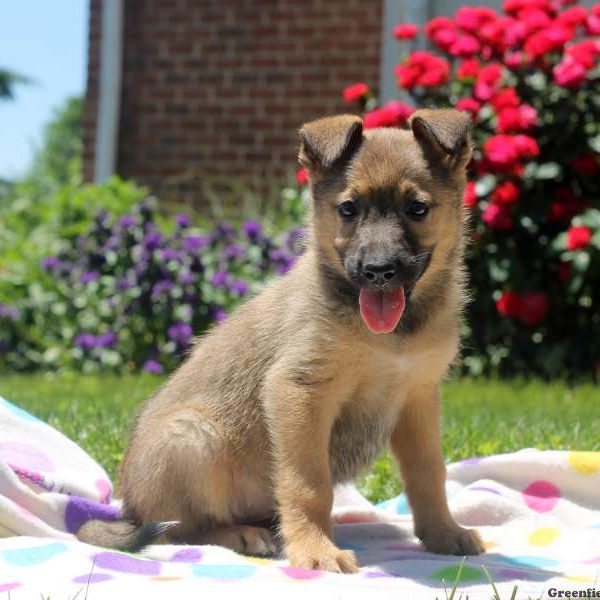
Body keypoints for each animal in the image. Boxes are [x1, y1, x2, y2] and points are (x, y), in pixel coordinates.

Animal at [78, 110, 482, 576]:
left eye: (417, 209)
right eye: (348, 209)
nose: (379, 271)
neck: (391, 339)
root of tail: (127, 509)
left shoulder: (418, 399)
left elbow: (429, 473)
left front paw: (443, 534)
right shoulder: (299, 391)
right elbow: (309, 484)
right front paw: (316, 550)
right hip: (191, 437)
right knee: (178, 530)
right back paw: (241, 535)